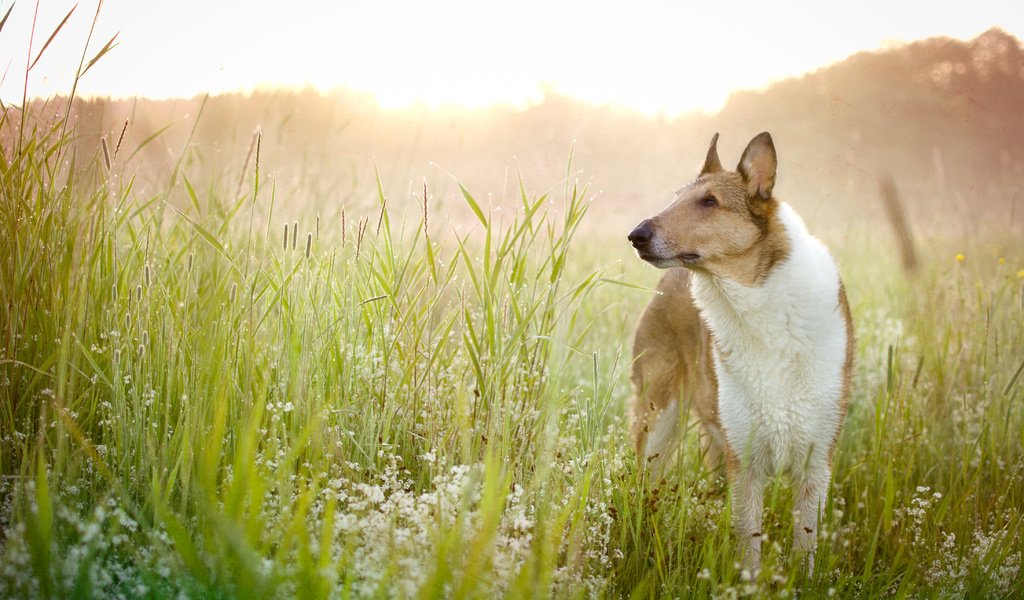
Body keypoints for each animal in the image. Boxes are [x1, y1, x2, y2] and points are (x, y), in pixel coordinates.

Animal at [622, 131, 856, 569]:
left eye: (709, 202)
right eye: (676, 197)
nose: (636, 235)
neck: (759, 307)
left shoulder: (815, 463)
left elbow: (805, 547)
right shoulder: (744, 464)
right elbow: (749, 546)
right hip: (658, 419)